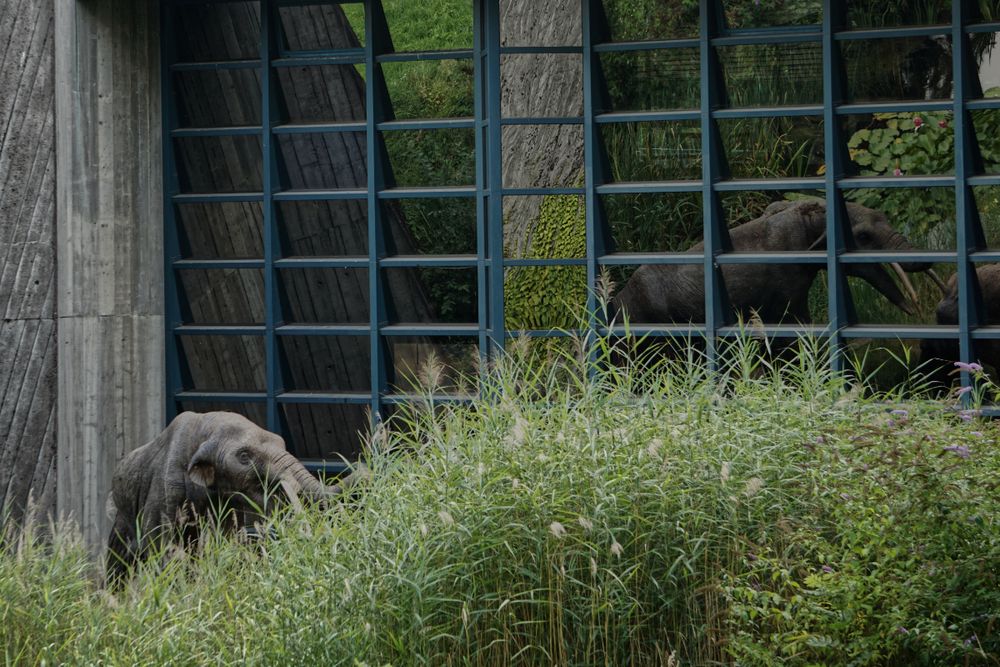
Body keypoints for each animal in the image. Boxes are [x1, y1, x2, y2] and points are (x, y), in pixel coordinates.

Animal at [106, 412, 364, 584]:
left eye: (282, 443)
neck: (205, 430)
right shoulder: (165, 489)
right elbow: (162, 547)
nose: (361, 464)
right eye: (244, 456)